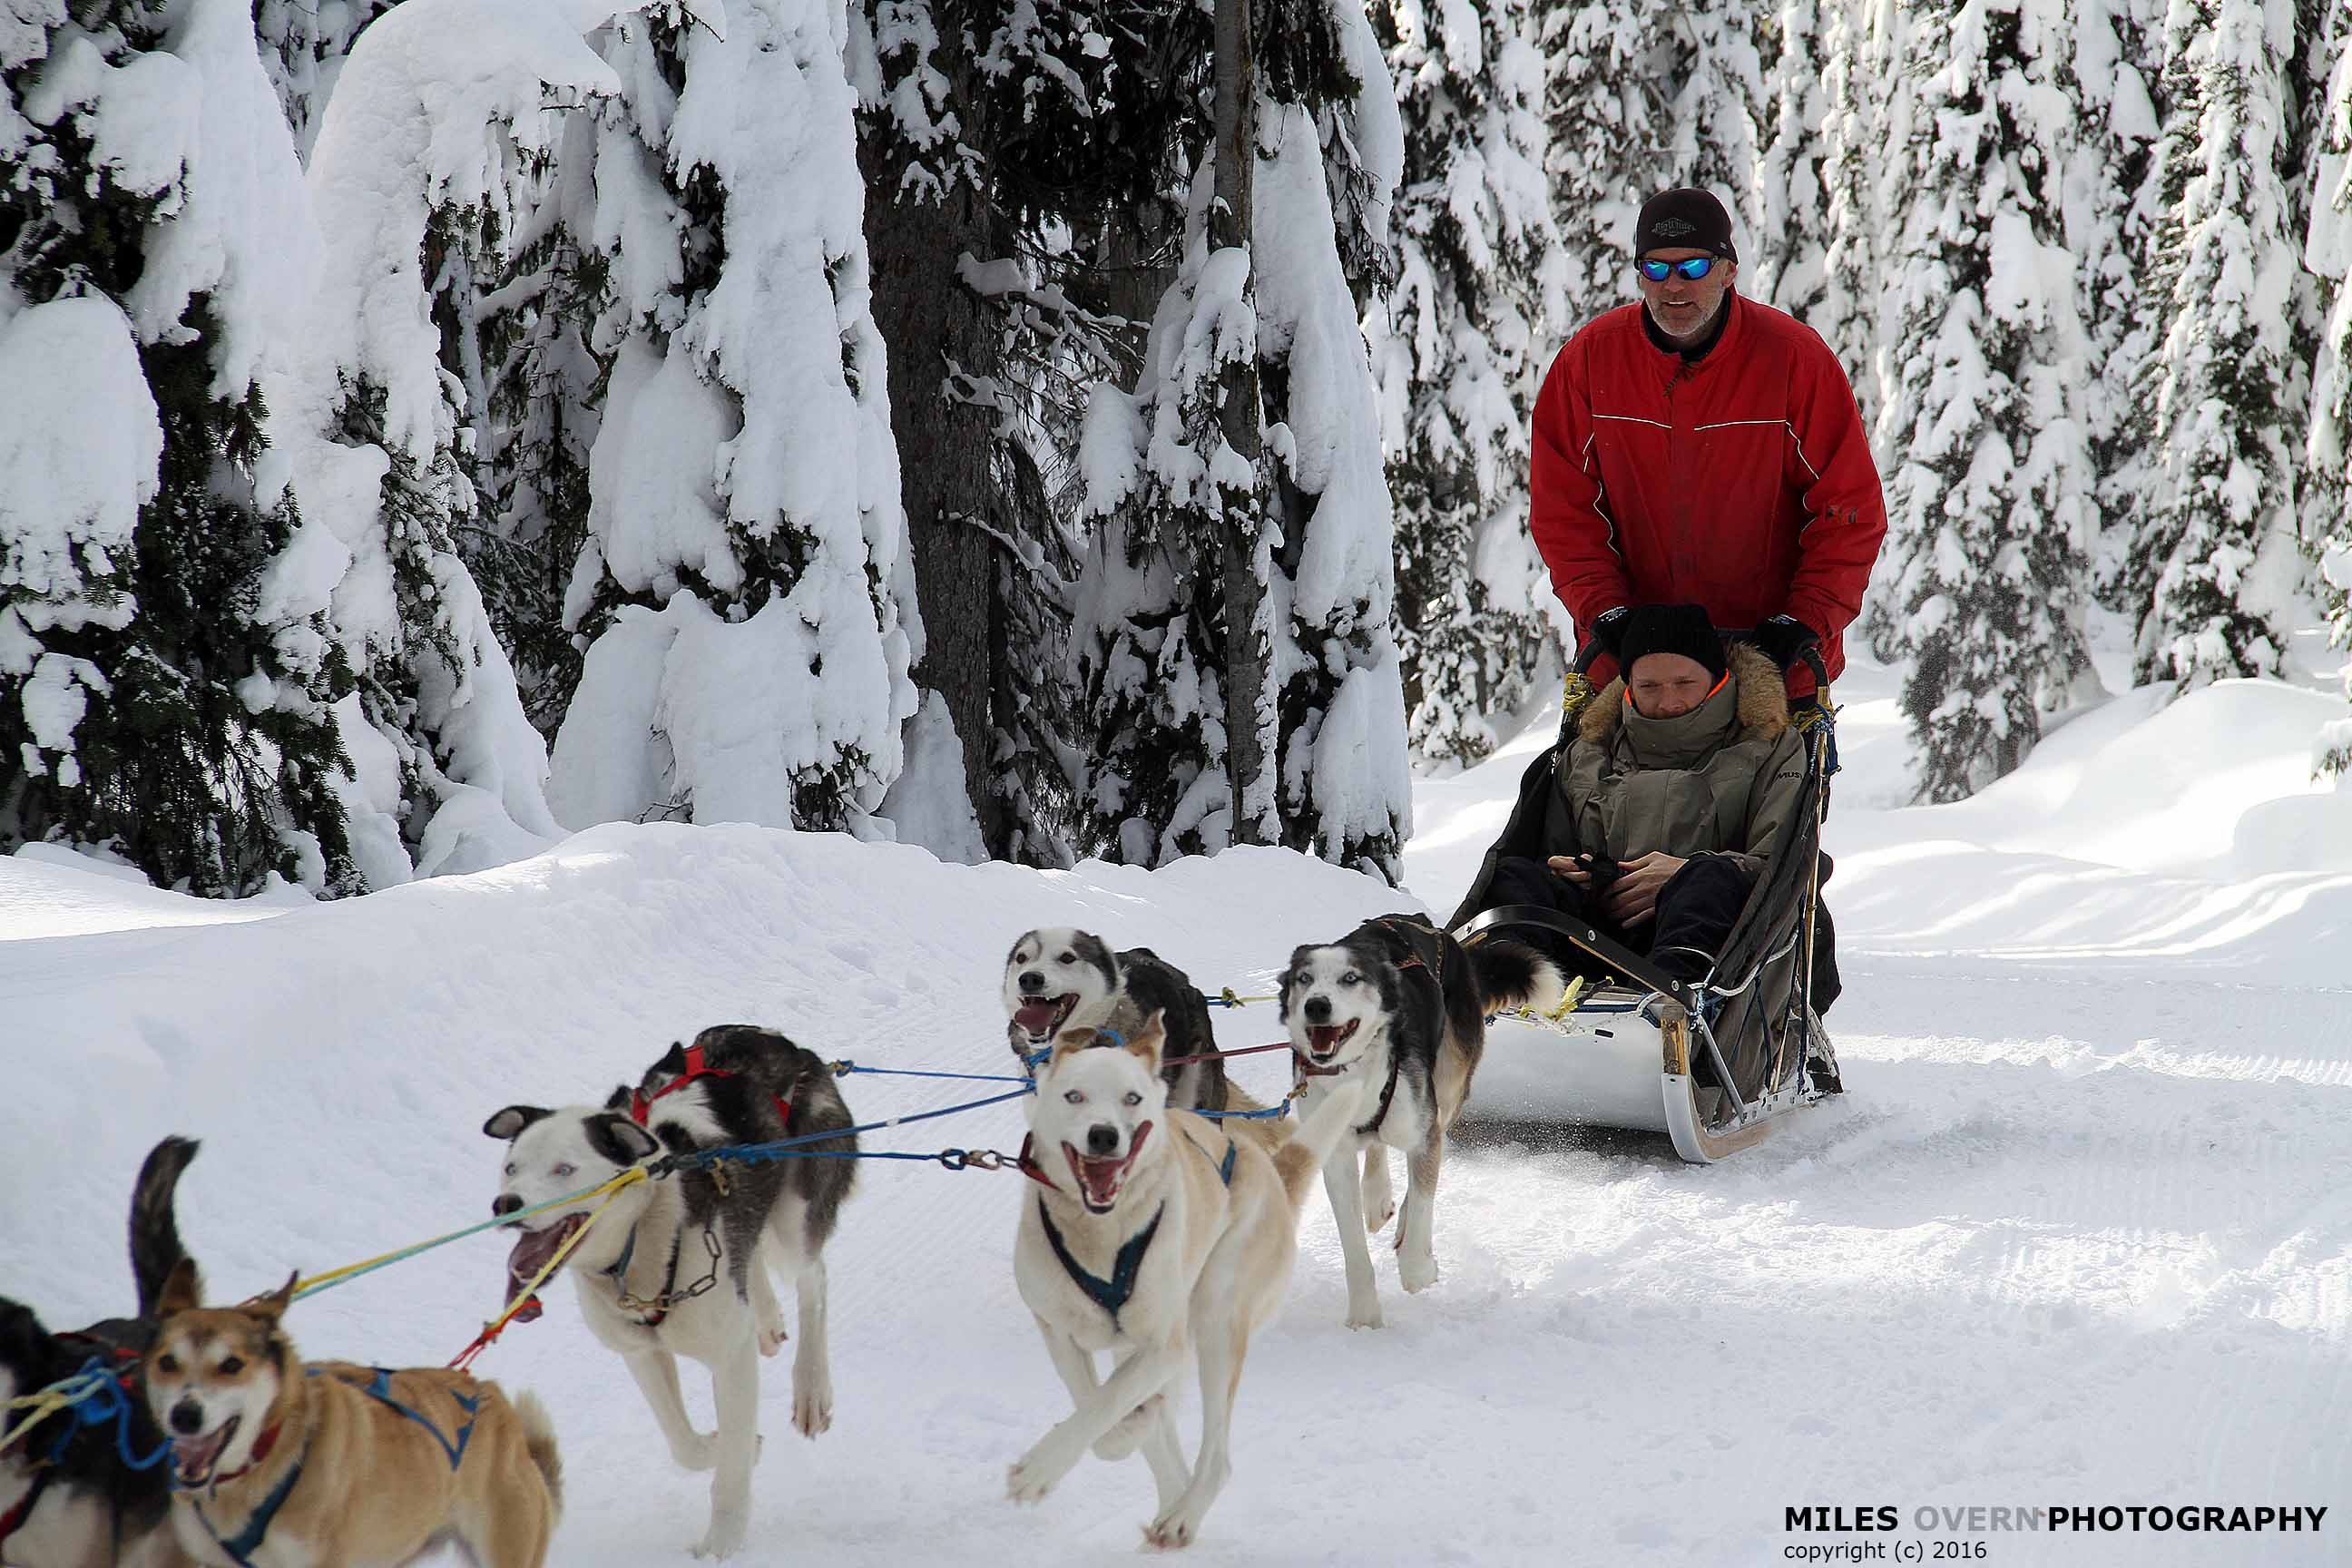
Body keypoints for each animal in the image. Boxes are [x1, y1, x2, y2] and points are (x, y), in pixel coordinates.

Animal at [479, 1029, 856, 1561]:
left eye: (564, 1170)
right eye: (512, 1167)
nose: (506, 1204)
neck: (641, 1246)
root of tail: (779, 1041)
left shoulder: (730, 1357)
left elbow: (731, 1471)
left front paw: (722, 1545)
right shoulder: (640, 1353)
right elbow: (686, 1445)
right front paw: (729, 1445)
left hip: (794, 1221)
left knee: (813, 1278)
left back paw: (812, 1389)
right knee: (752, 1257)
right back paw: (765, 1319)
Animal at [1006, 1020, 1364, 1542]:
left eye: (1132, 1098)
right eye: (1074, 1095)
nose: (1103, 1135)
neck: (1100, 1236)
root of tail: (1268, 1168)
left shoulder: (1163, 1346)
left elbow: (1107, 1407)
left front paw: (1038, 1470)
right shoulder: (1057, 1330)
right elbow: (1096, 1408)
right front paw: (1126, 1427)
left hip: (1217, 1322)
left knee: (1217, 1459)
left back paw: (1182, 1515)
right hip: (1142, 1345)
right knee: (1170, 1458)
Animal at [1289, 912, 1562, 1335]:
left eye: (1351, 978)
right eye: (1304, 978)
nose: (1317, 1006)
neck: (1357, 1072)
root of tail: (1421, 924)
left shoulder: (1423, 1133)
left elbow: (1420, 1203)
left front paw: (1418, 1267)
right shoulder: (1335, 1157)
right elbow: (1353, 1246)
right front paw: (1365, 1315)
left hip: (1446, 1090)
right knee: (1378, 1147)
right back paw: (1376, 1195)